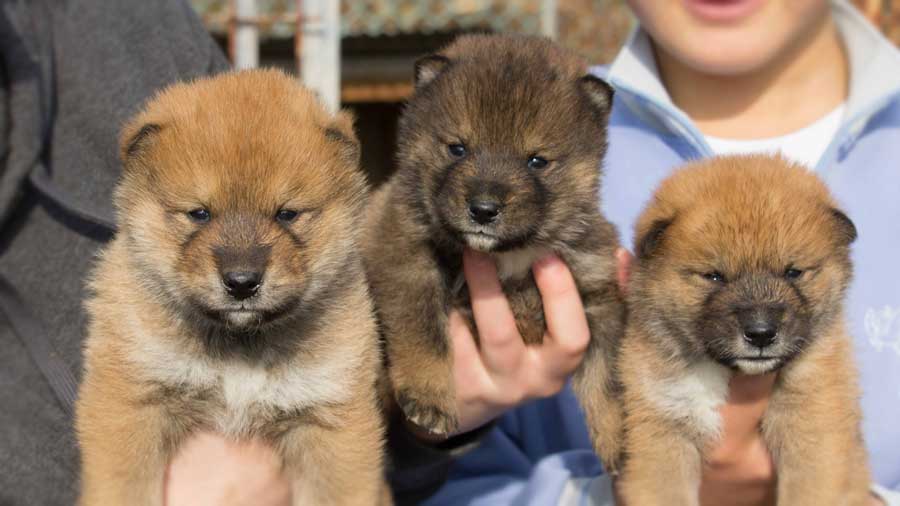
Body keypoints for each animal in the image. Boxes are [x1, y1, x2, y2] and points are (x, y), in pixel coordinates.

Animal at [74, 68, 390, 506]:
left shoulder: (332, 422)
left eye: (287, 214)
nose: (242, 283)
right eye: (199, 213)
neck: (239, 349)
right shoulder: (130, 402)